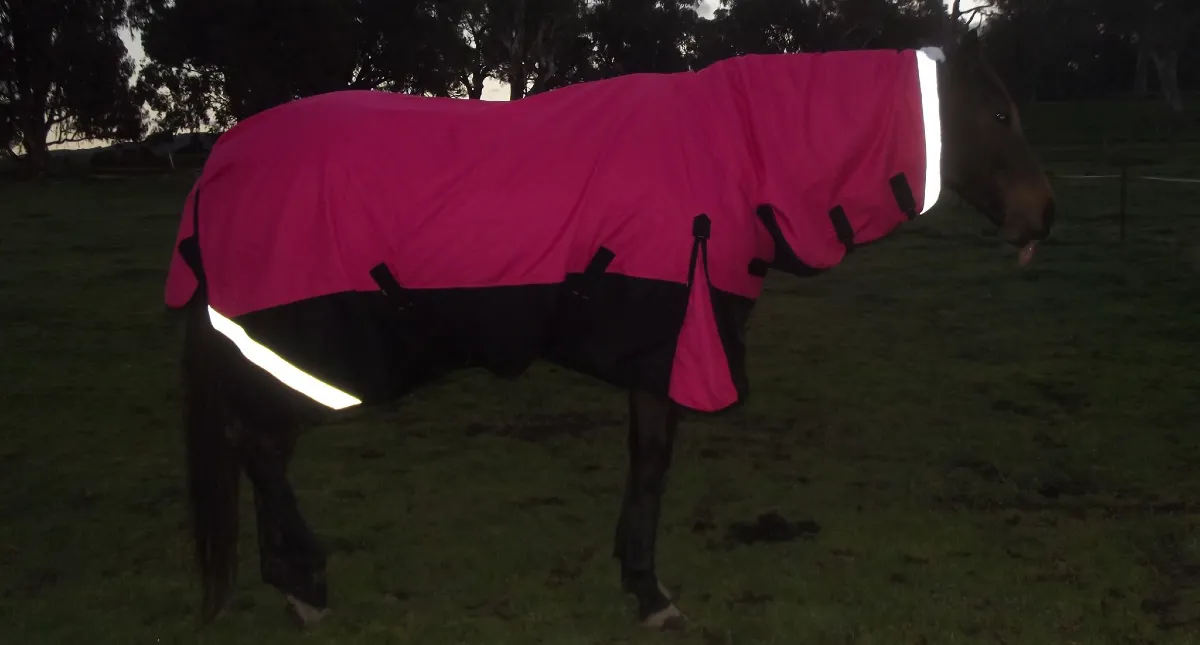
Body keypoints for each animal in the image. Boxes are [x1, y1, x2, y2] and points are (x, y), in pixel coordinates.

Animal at [169, 29, 1055, 630]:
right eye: (1000, 111)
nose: (1043, 217)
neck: (735, 152)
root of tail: (221, 162)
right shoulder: (669, 347)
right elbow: (653, 466)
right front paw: (649, 589)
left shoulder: (654, 353)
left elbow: (645, 464)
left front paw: (636, 578)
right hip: (304, 353)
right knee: (257, 447)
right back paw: (305, 584)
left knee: (258, 450)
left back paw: (291, 577)